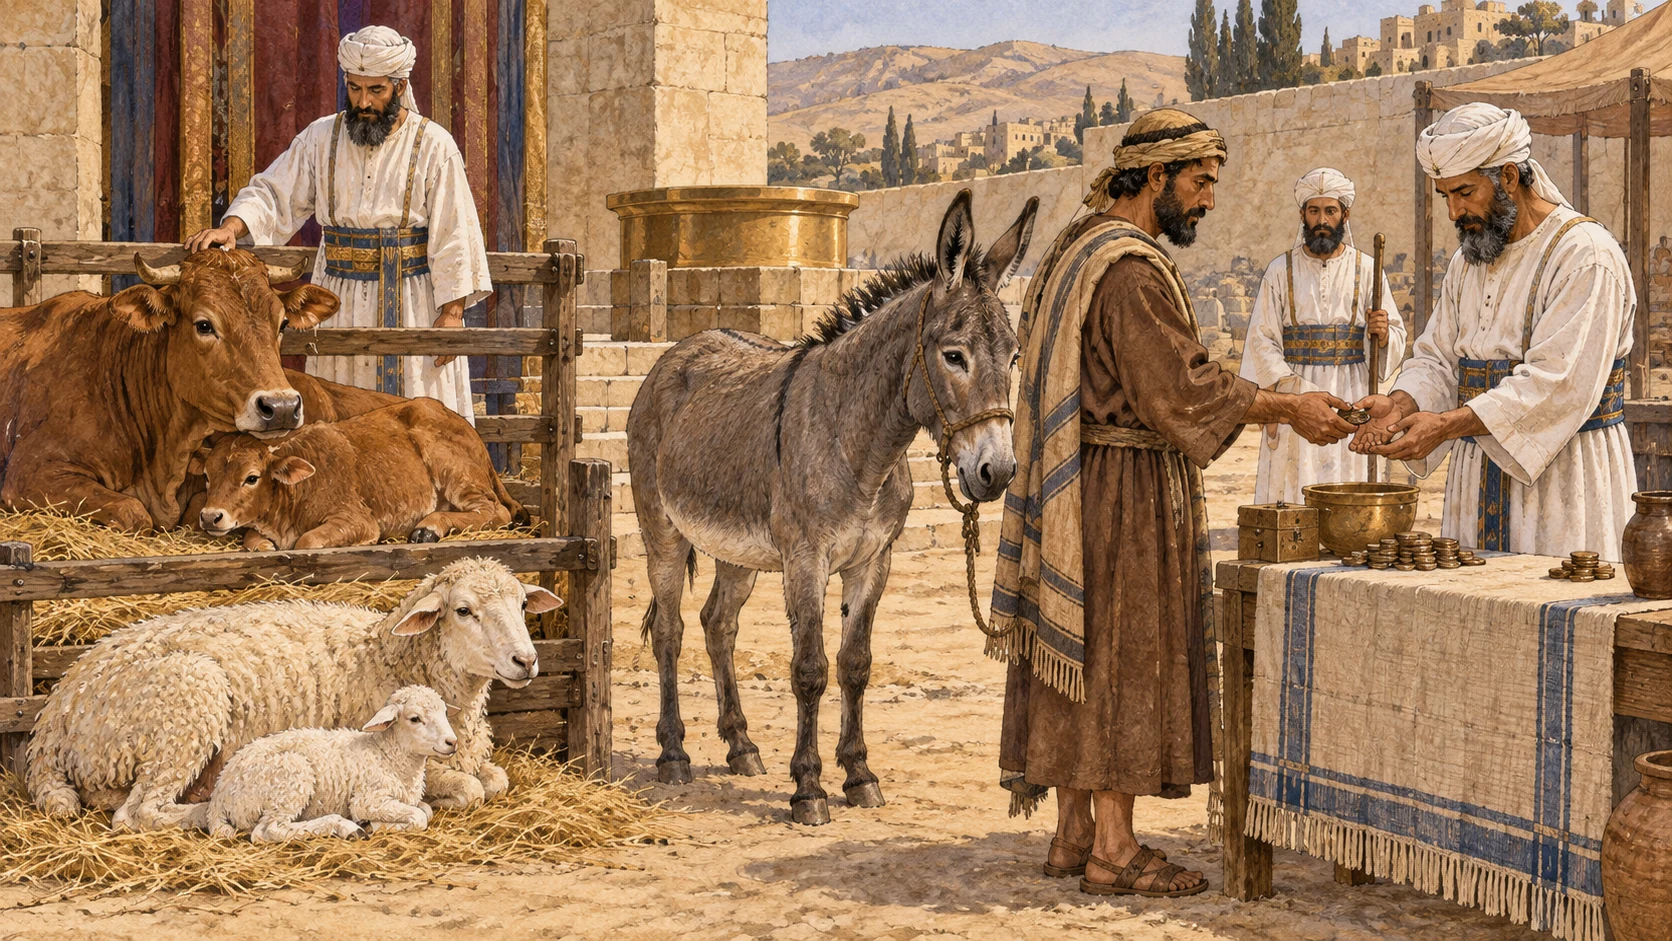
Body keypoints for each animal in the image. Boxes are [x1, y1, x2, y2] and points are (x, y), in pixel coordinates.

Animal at [184, 685, 458, 843]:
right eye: (415, 718)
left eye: (445, 712)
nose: (452, 742)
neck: (387, 755)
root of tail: (220, 794)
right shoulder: (368, 799)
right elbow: (419, 817)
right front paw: (377, 825)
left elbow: (426, 809)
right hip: (291, 778)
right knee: (267, 832)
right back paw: (344, 827)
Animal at [195, 398, 525, 550]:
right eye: (207, 476)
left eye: (251, 478)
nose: (210, 517)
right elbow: (253, 541)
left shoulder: (357, 520)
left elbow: (307, 541)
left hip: (455, 472)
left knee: (495, 511)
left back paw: (428, 527)